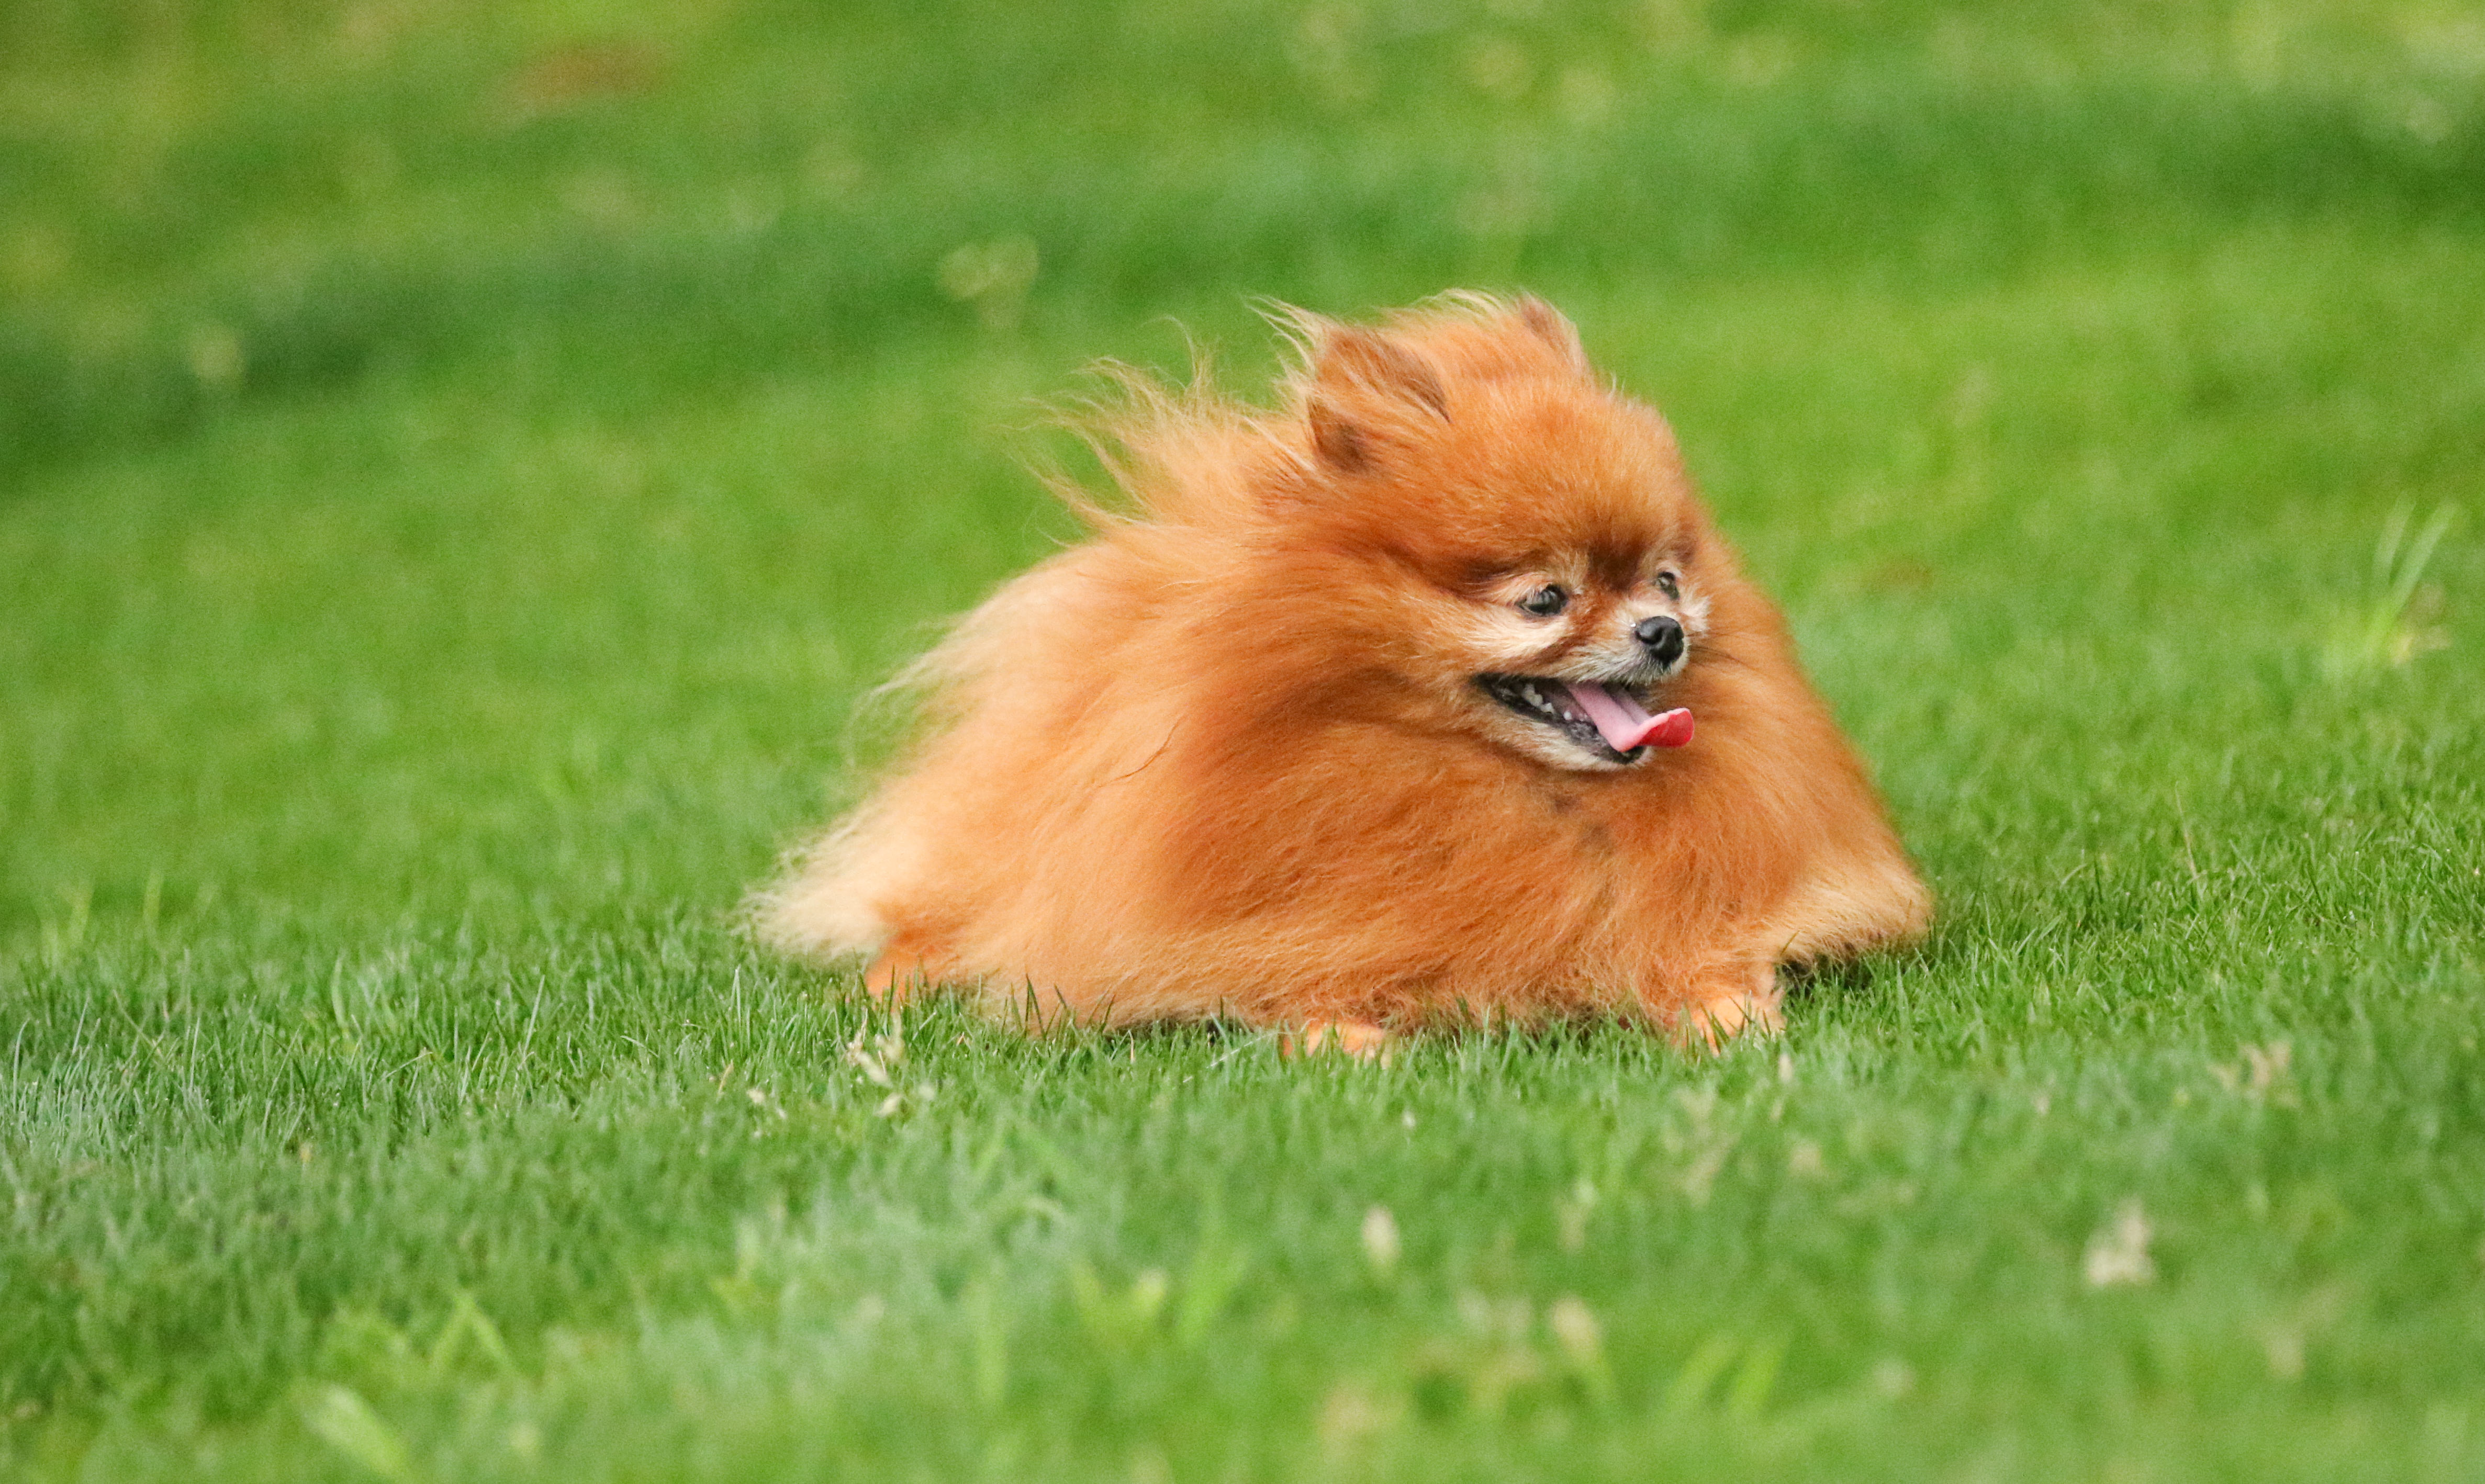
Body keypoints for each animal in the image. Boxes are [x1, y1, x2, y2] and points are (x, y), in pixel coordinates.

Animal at [765, 294, 1928, 1049]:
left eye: (1668, 578)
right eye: (1544, 599)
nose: (1661, 633)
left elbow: (1711, 969)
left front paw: (1734, 1017)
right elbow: (1295, 998)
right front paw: (1358, 1046)